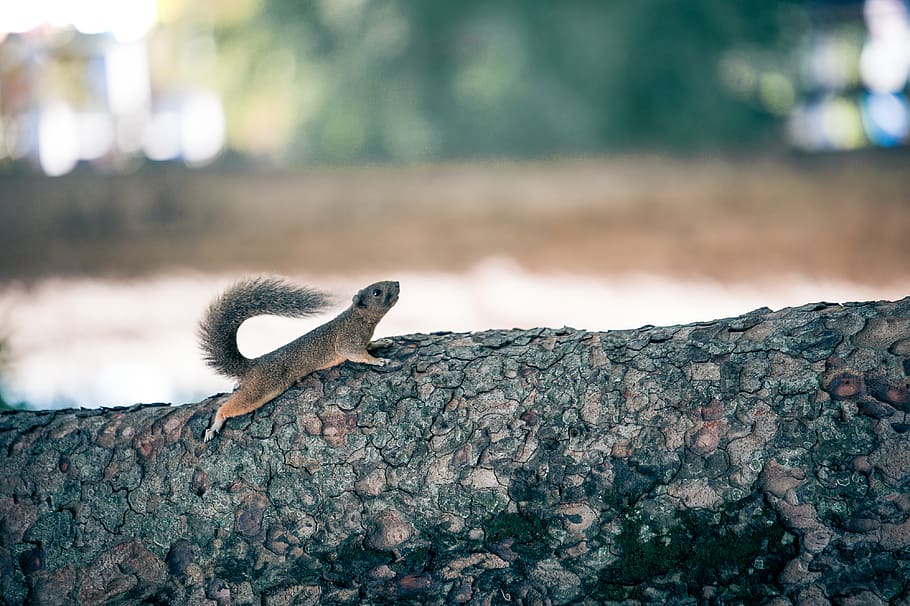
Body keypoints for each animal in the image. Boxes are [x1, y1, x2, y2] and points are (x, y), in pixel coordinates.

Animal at [199, 276, 399, 442]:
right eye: (376, 292)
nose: (397, 283)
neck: (358, 318)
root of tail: (254, 364)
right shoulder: (348, 341)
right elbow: (358, 355)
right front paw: (378, 360)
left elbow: (368, 346)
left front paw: (380, 343)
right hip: (262, 387)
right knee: (230, 406)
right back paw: (215, 424)